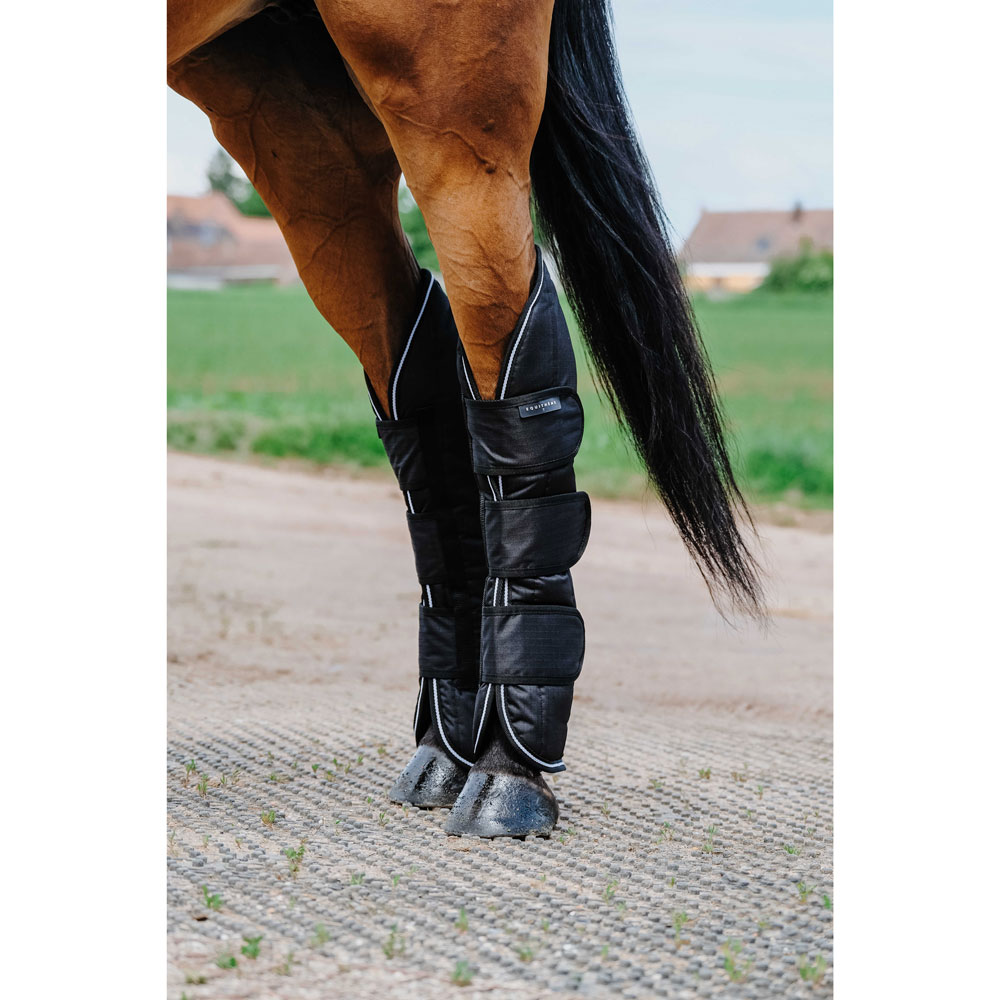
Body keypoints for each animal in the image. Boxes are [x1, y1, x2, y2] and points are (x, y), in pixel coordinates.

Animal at [167, 0, 764, 839]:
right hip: (281, 110)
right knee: (418, 388)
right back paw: (446, 747)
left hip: (449, 104)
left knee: (508, 350)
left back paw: (508, 769)